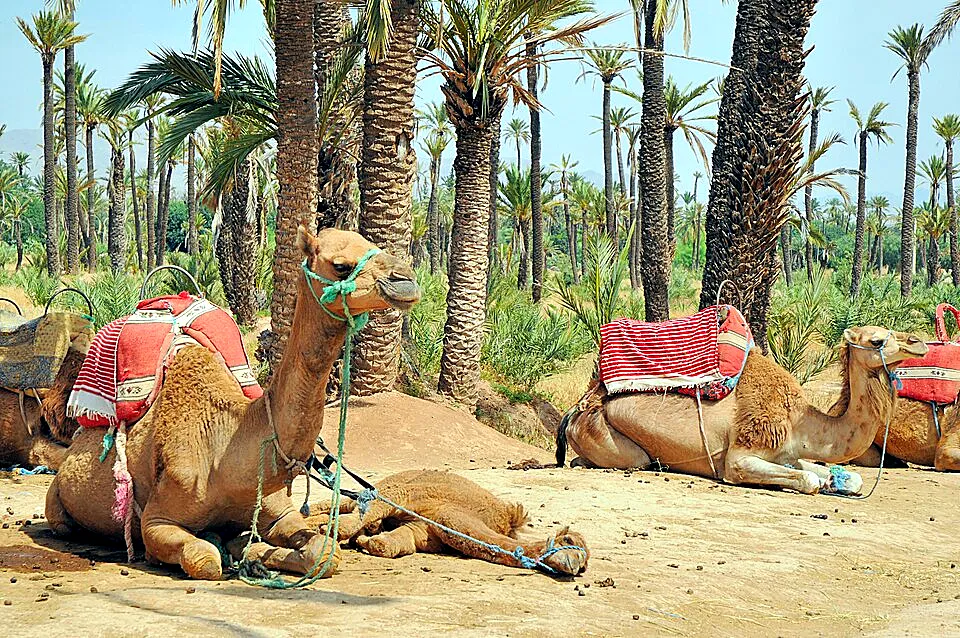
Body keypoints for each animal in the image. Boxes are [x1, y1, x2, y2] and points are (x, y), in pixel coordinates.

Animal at [45, 227, 421, 580]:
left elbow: (324, 553)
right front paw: (230, 549)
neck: (226, 450)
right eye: (341, 266)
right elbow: (205, 559)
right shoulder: (156, 520)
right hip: (57, 503)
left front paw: (249, 549)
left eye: (372, 244)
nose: (407, 280)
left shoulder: (279, 512)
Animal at [303, 470, 589, 576]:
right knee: (341, 502)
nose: (576, 567)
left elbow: (392, 545)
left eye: (585, 562)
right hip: (390, 483)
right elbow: (367, 511)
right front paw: (335, 531)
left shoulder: (423, 529)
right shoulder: (404, 494)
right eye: (569, 540)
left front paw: (367, 540)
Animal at [557, 327, 928, 494]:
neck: (800, 422)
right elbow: (808, 480)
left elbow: (847, 476)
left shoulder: (787, 454)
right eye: (877, 341)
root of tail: (578, 406)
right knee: (631, 460)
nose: (919, 343)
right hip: (609, 437)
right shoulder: (740, 457)